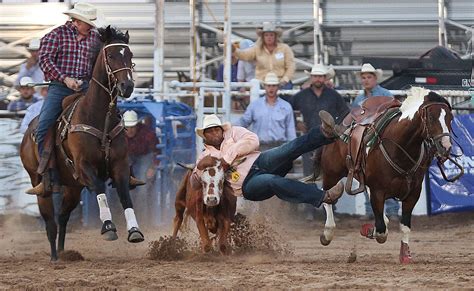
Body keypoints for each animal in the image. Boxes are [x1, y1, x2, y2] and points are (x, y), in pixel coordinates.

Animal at [19, 26, 144, 262]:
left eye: (130, 55)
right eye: (111, 55)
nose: (127, 86)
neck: (99, 117)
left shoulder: (120, 165)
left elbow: (125, 195)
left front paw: (134, 231)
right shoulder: (84, 166)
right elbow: (99, 188)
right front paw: (108, 227)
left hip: (73, 187)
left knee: (62, 217)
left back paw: (63, 252)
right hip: (40, 185)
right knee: (50, 221)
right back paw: (54, 257)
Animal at [318, 88, 462, 264]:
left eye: (450, 118)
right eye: (431, 117)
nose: (446, 147)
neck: (400, 145)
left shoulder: (413, 193)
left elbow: (404, 225)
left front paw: (405, 254)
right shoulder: (378, 191)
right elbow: (381, 231)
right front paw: (368, 230)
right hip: (332, 172)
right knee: (327, 196)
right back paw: (327, 233)